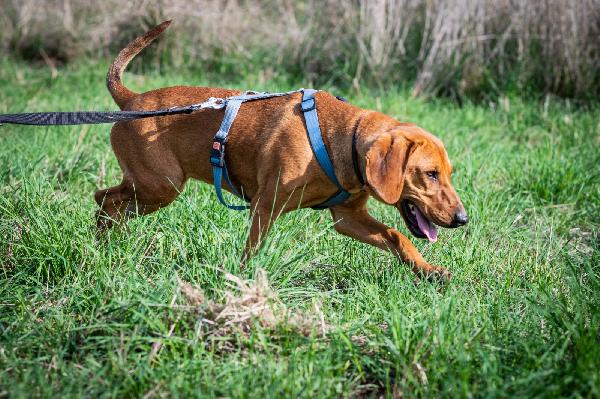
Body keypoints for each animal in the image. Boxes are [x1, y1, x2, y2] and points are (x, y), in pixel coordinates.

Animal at [95, 20, 468, 280]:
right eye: (431, 174)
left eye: (448, 174)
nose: (463, 219)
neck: (342, 138)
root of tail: (131, 101)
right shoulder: (265, 205)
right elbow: (253, 251)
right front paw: (245, 283)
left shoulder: (348, 218)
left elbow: (397, 237)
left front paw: (429, 270)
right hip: (161, 185)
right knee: (105, 199)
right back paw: (102, 246)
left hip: (150, 190)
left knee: (109, 204)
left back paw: (108, 246)